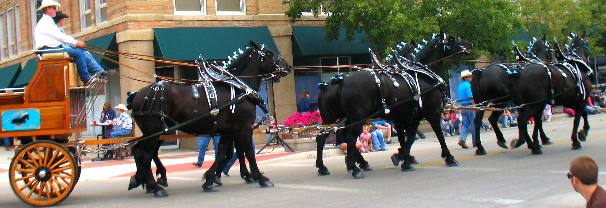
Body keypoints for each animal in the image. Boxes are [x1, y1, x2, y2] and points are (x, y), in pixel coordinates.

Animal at [126, 41, 292, 197]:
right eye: (269, 53)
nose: (288, 66)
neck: (239, 89)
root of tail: (137, 94)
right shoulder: (243, 128)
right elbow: (249, 153)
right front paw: (260, 178)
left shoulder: (228, 131)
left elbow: (222, 154)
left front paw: (209, 179)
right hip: (156, 131)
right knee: (144, 154)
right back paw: (154, 187)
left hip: (156, 132)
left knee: (140, 151)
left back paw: (143, 180)